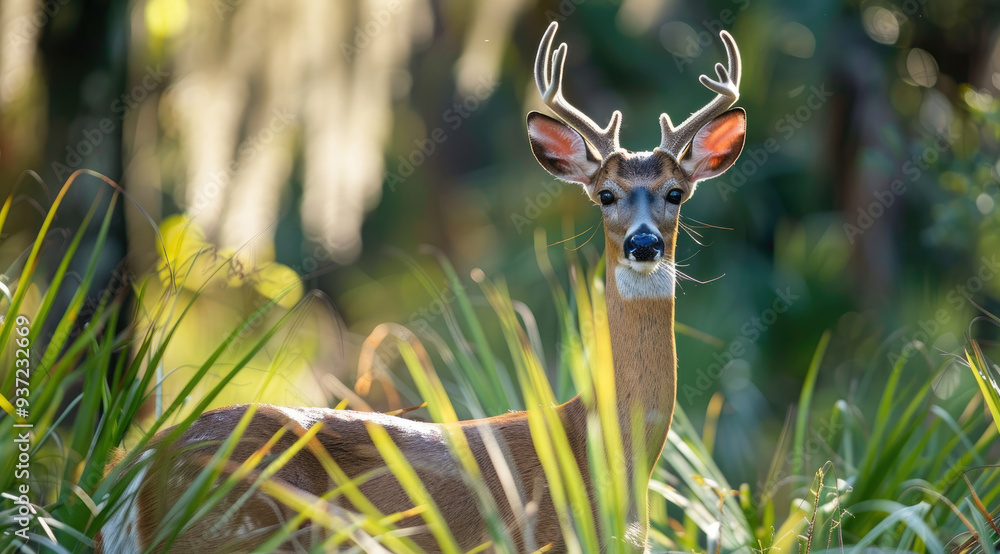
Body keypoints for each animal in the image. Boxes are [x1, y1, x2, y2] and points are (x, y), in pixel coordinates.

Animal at [97, 21, 748, 552]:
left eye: (675, 193)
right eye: (606, 195)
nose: (644, 245)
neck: (600, 455)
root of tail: (137, 475)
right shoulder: (544, 540)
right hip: (239, 532)